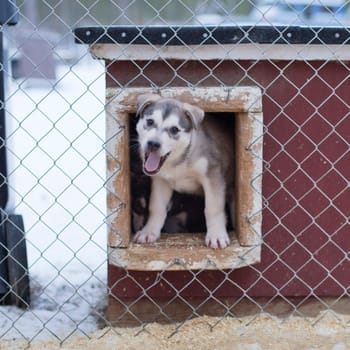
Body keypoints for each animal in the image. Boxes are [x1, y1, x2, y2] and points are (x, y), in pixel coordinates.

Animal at [135, 93, 235, 249]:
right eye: (150, 122)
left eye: (174, 130)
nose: (153, 144)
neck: (178, 162)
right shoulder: (160, 181)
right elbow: (156, 207)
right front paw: (149, 231)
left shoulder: (213, 177)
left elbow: (213, 208)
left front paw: (216, 236)